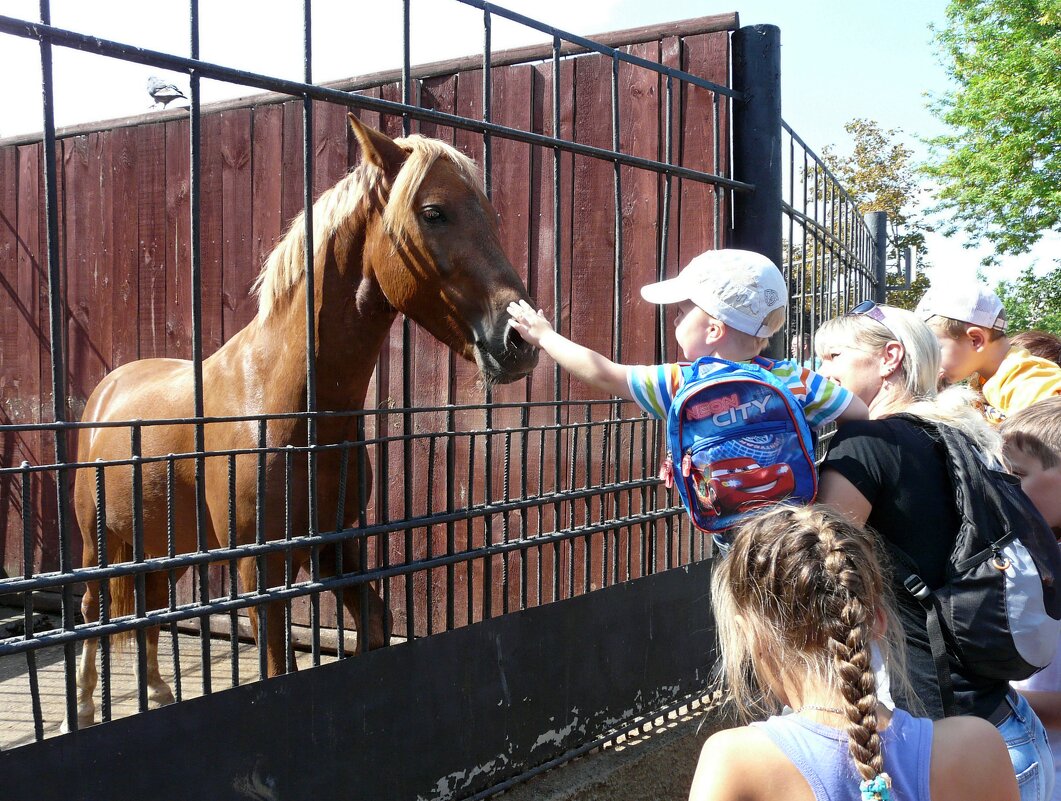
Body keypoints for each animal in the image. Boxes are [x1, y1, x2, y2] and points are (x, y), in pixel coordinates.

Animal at [64, 114, 538, 734]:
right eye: (434, 211)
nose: (521, 340)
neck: (286, 403)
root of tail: (108, 390)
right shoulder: (258, 569)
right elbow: (276, 664)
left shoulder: (337, 546)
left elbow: (376, 626)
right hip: (99, 542)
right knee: (92, 611)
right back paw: (85, 704)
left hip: (168, 544)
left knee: (149, 606)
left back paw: (159, 691)